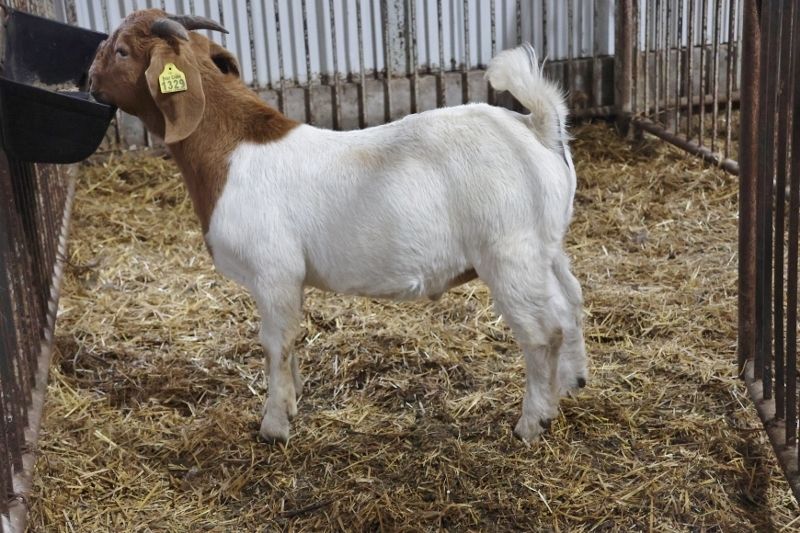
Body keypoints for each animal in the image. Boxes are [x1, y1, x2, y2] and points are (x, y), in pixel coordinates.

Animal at [89, 9, 588, 444]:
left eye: (122, 51)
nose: (90, 81)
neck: (230, 148)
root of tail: (537, 127)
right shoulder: (289, 280)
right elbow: (289, 340)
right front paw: (291, 402)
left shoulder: (273, 271)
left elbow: (275, 343)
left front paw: (274, 426)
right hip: (547, 247)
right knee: (571, 303)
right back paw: (571, 383)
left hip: (509, 253)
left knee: (543, 332)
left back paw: (532, 422)